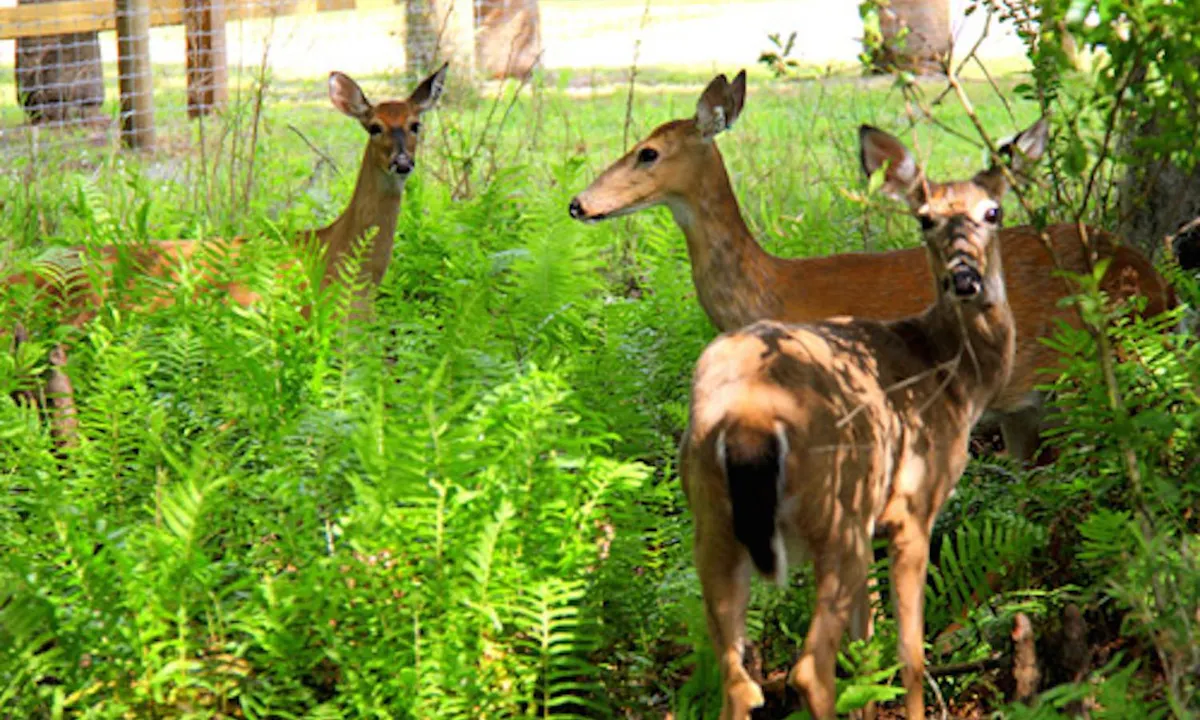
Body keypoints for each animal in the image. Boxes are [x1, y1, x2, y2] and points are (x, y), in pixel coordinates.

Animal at [678, 119, 1037, 719]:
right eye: (924, 218)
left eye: (994, 212)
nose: (964, 278)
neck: (951, 374)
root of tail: (748, 419)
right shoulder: (911, 507)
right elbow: (910, 651)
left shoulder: (873, 525)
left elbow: (865, 644)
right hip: (836, 511)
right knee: (807, 670)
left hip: (713, 523)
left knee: (736, 681)